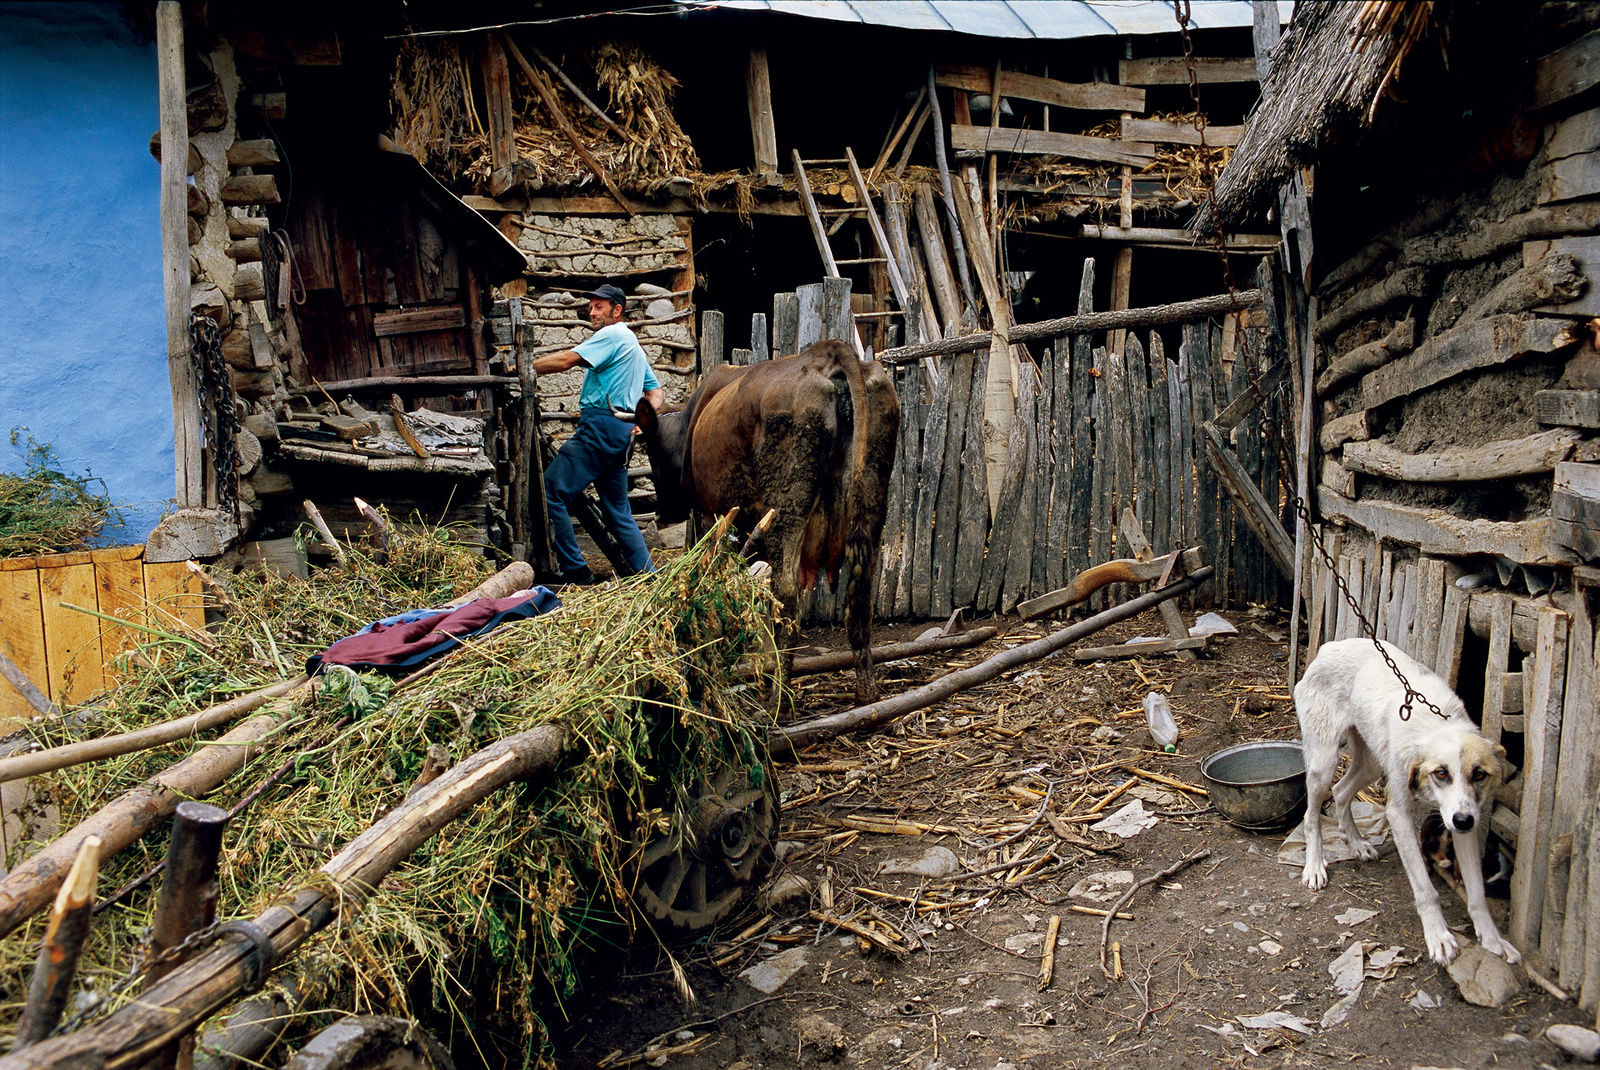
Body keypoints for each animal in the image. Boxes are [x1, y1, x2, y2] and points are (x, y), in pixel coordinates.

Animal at [636, 340, 902, 700]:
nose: (663, 513)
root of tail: (829, 353)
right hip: (871, 502)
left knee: (787, 597)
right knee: (859, 598)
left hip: (786, 508)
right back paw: (866, 694)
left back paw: (780, 699)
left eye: (649, 449)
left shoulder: (713, 516)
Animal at [1292, 639, 1516, 966]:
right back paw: (1314, 867)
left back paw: (1356, 843)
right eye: (1441, 773)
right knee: (1311, 816)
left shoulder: (1465, 823)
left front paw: (1493, 939)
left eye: (1479, 774)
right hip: (1325, 761)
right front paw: (1439, 937)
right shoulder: (1399, 815)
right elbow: (1426, 890)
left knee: (1342, 792)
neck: (1436, 726)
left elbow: (1477, 894)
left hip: (1371, 763)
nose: (1462, 821)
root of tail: (1331, 645)